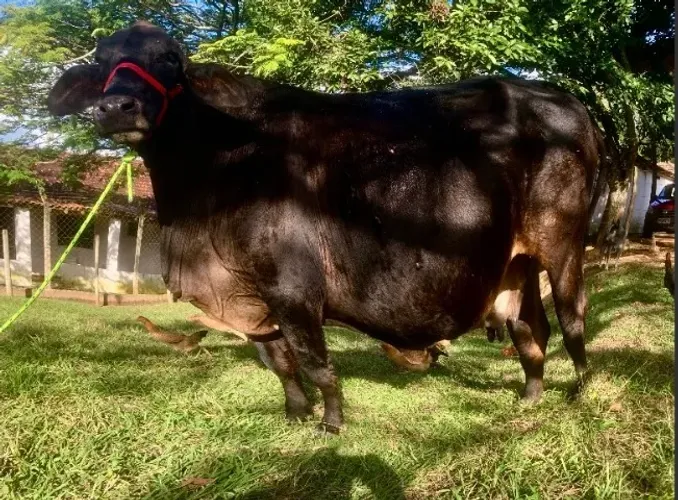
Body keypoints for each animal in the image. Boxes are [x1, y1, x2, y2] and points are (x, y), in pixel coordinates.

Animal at [47, 22, 600, 434]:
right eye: (102, 61)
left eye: (170, 59)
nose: (117, 107)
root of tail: (567, 102)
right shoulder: (251, 294)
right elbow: (279, 362)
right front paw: (295, 413)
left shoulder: (293, 290)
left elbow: (317, 364)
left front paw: (331, 424)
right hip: (517, 261)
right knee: (530, 328)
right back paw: (530, 397)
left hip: (563, 243)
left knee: (572, 318)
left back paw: (581, 391)